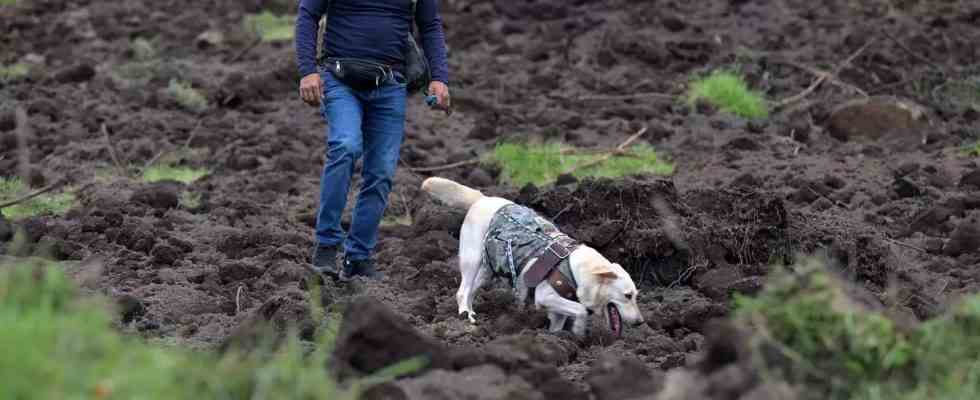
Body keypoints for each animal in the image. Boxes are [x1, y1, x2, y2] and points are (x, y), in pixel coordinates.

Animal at [420, 177, 644, 336]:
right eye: (627, 296)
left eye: (636, 296)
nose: (641, 322)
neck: (578, 270)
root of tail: (483, 199)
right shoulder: (545, 295)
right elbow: (579, 309)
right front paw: (578, 330)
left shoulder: (557, 308)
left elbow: (559, 322)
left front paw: (557, 338)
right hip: (471, 258)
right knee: (462, 291)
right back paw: (465, 316)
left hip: (487, 269)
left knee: (473, 289)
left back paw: (474, 312)